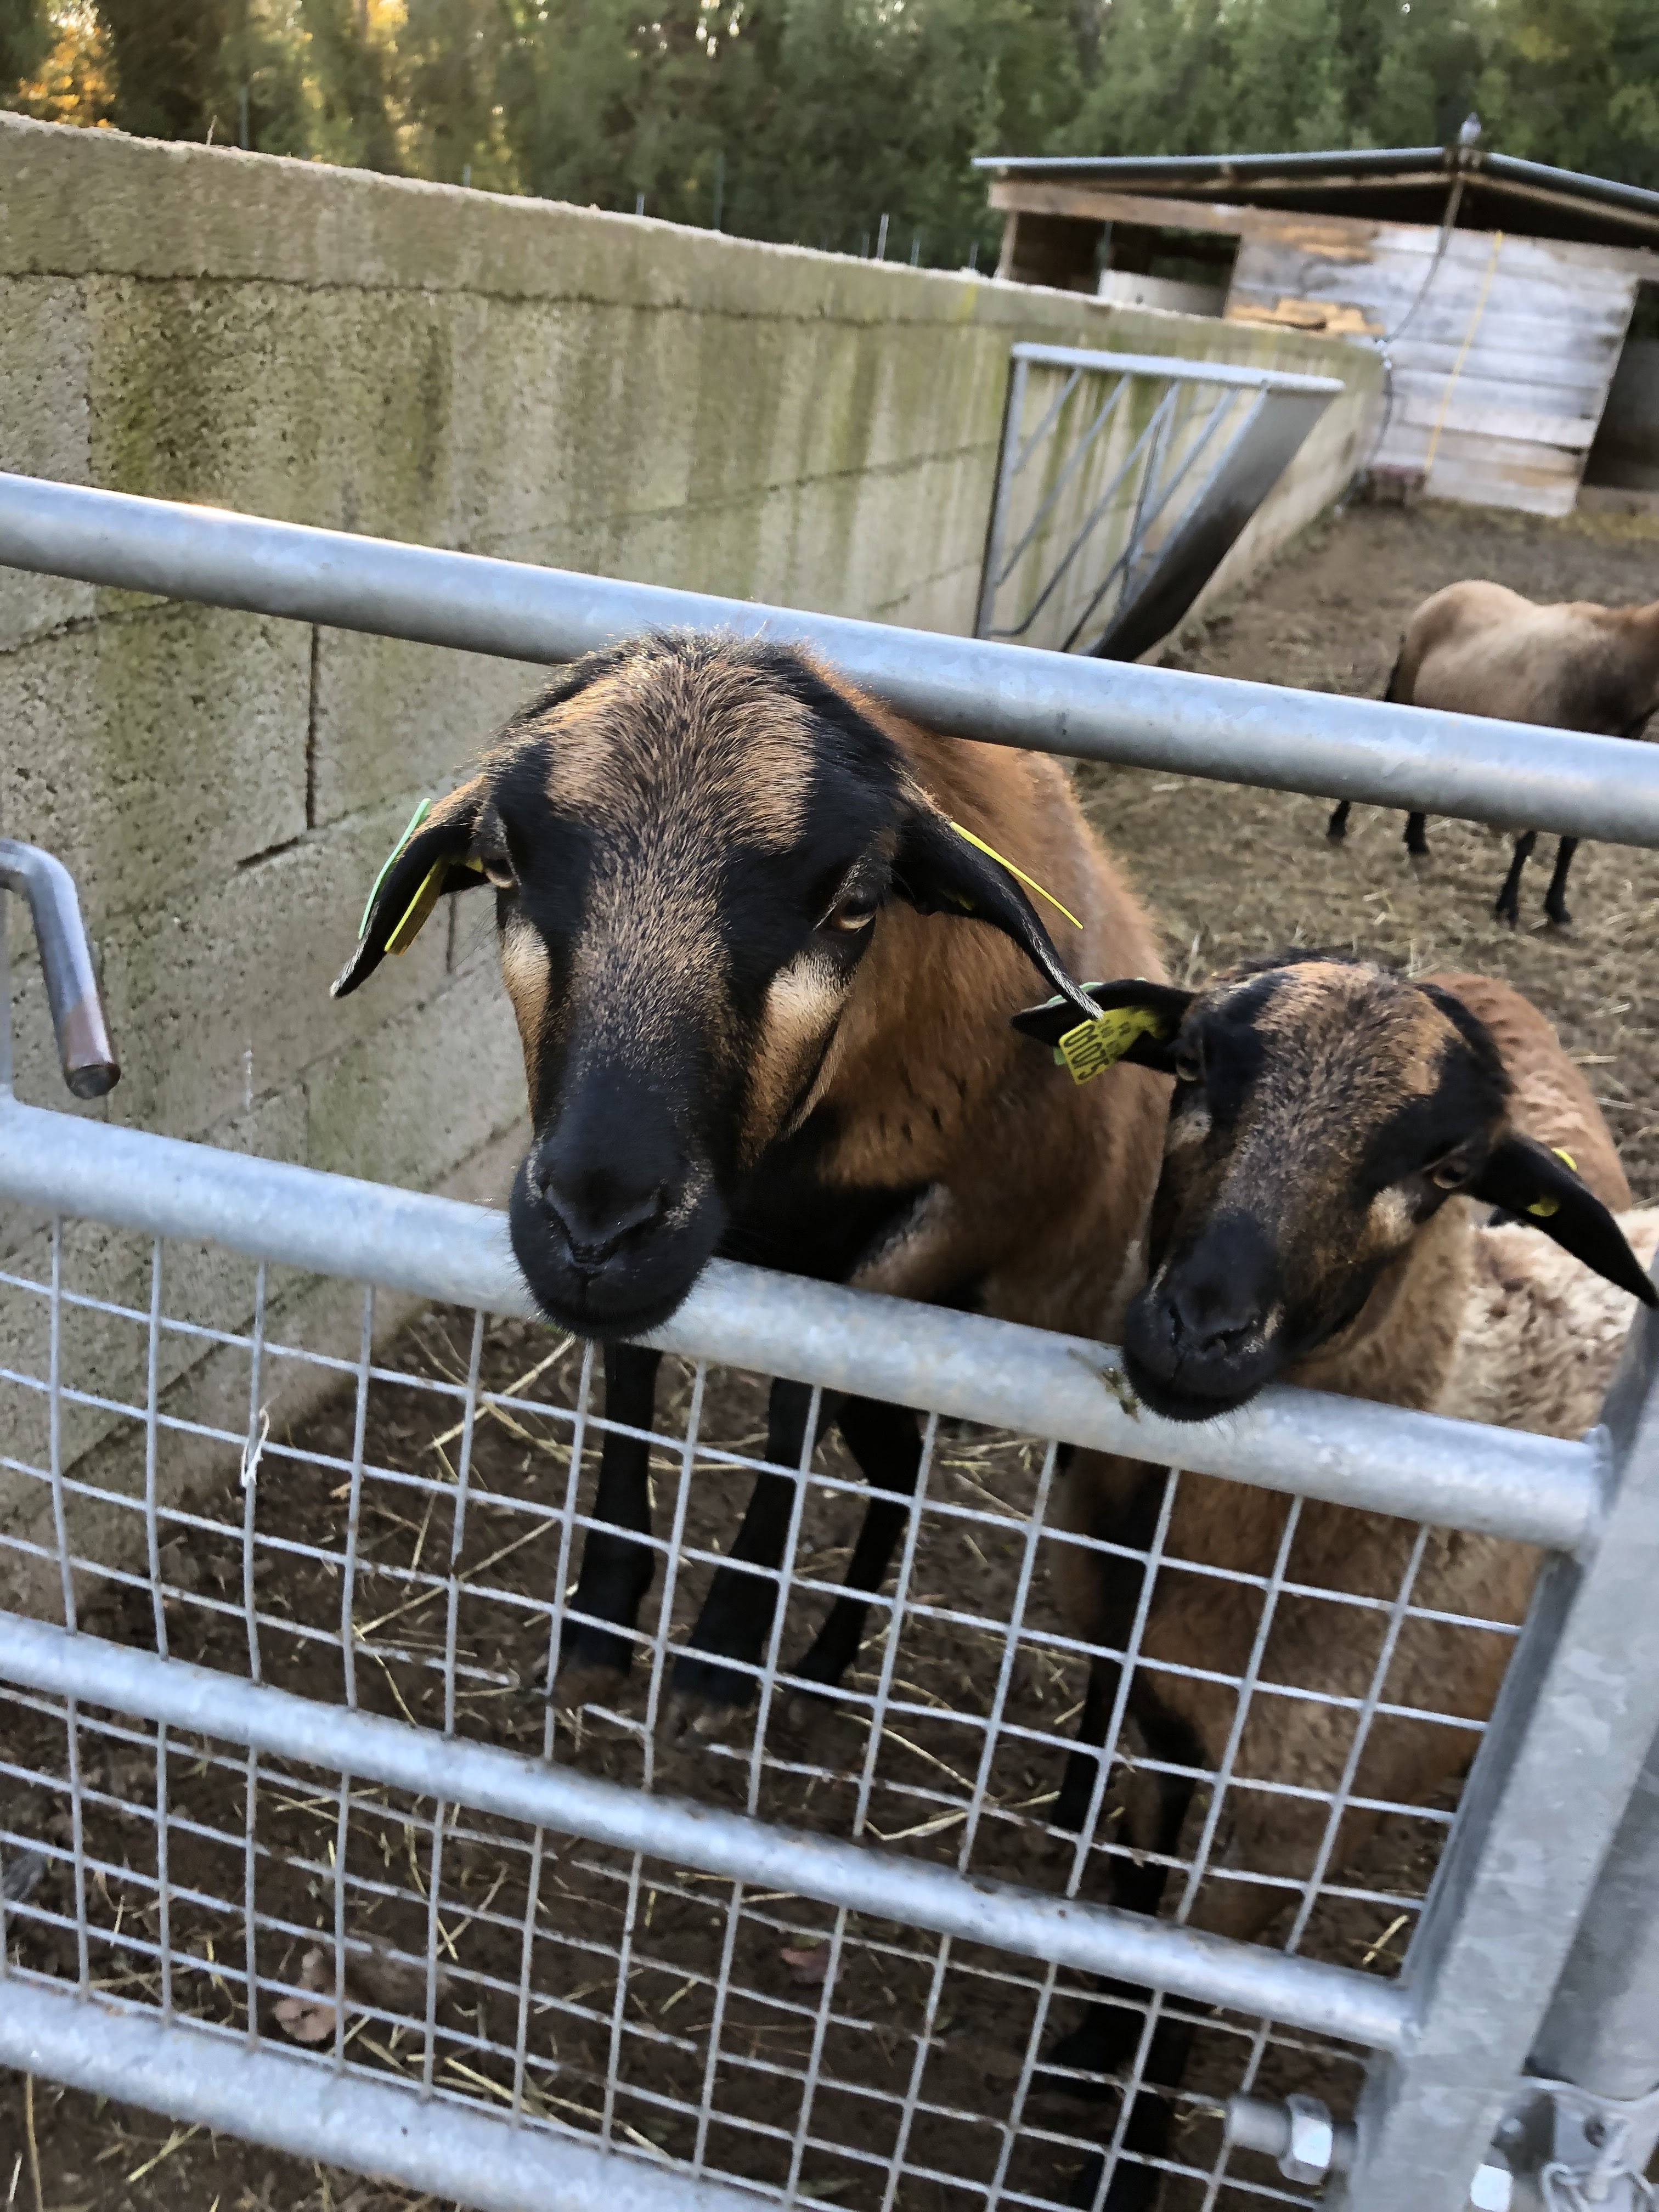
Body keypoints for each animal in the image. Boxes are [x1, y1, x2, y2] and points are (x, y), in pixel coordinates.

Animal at [334, 632, 1170, 1739]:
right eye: (504, 864)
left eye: (855, 903)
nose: (594, 1224)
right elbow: (630, 1375)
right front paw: (601, 1621)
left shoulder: (896, 1247)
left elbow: (789, 1404)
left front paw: (724, 1650)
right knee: (901, 1467)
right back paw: (821, 1663)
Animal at [1013, 955, 1656, 2208]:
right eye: (1191, 1063)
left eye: (1446, 1170)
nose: (1197, 1332)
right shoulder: (1169, 1725)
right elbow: (1135, 1900)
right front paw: (1091, 2045)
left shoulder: (1294, 1822)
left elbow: (1186, 1987)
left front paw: (1126, 2157)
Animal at [1325, 580, 1659, 926]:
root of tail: (1450, 591)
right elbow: (1527, 840)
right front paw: (1508, 905)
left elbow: (1571, 842)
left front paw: (1556, 907)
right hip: (1405, 688)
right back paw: (1339, 826)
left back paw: (1417, 841)